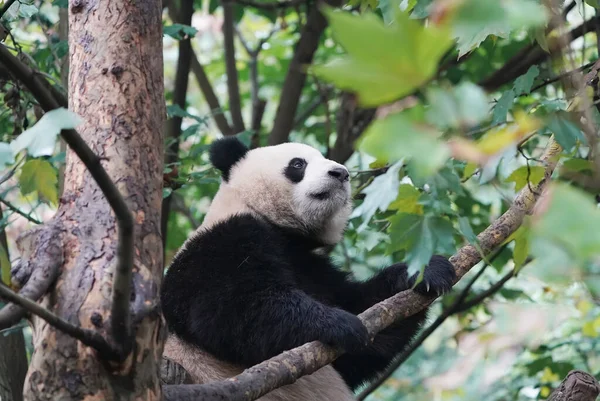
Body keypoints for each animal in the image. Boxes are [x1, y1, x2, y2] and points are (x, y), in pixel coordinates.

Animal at [159, 138, 454, 400]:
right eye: (298, 164)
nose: (341, 173)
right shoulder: (220, 244)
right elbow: (229, 310)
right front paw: (341, 324)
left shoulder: (311, 267)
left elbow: (366, 326)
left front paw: (426, 272)